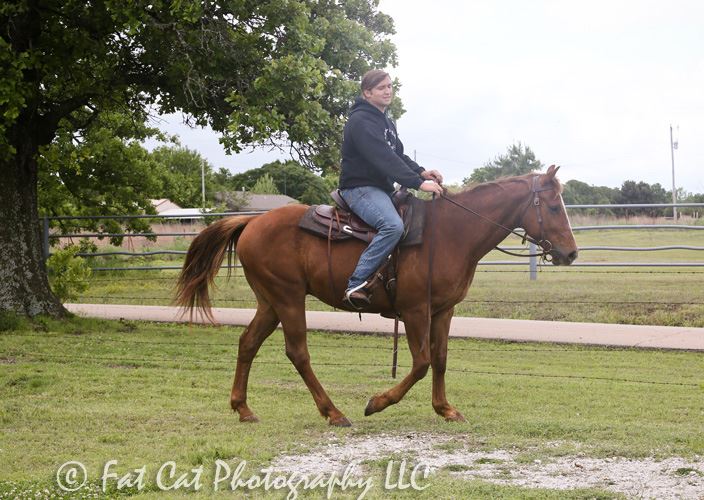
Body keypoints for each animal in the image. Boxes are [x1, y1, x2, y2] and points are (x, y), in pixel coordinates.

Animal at [176, 164, 576, 426]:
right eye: (554, 206)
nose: (571, 253)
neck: (450, 233)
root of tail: (251, 222)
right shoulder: (414, 310)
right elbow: (421, 362)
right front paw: (378, 402)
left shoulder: (442, 311)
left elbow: (440, 360)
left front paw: (445, 408)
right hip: (288, 298)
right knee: (297, 352)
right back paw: (333, 412)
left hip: (270, 301)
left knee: (247, 342)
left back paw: (243, 408)